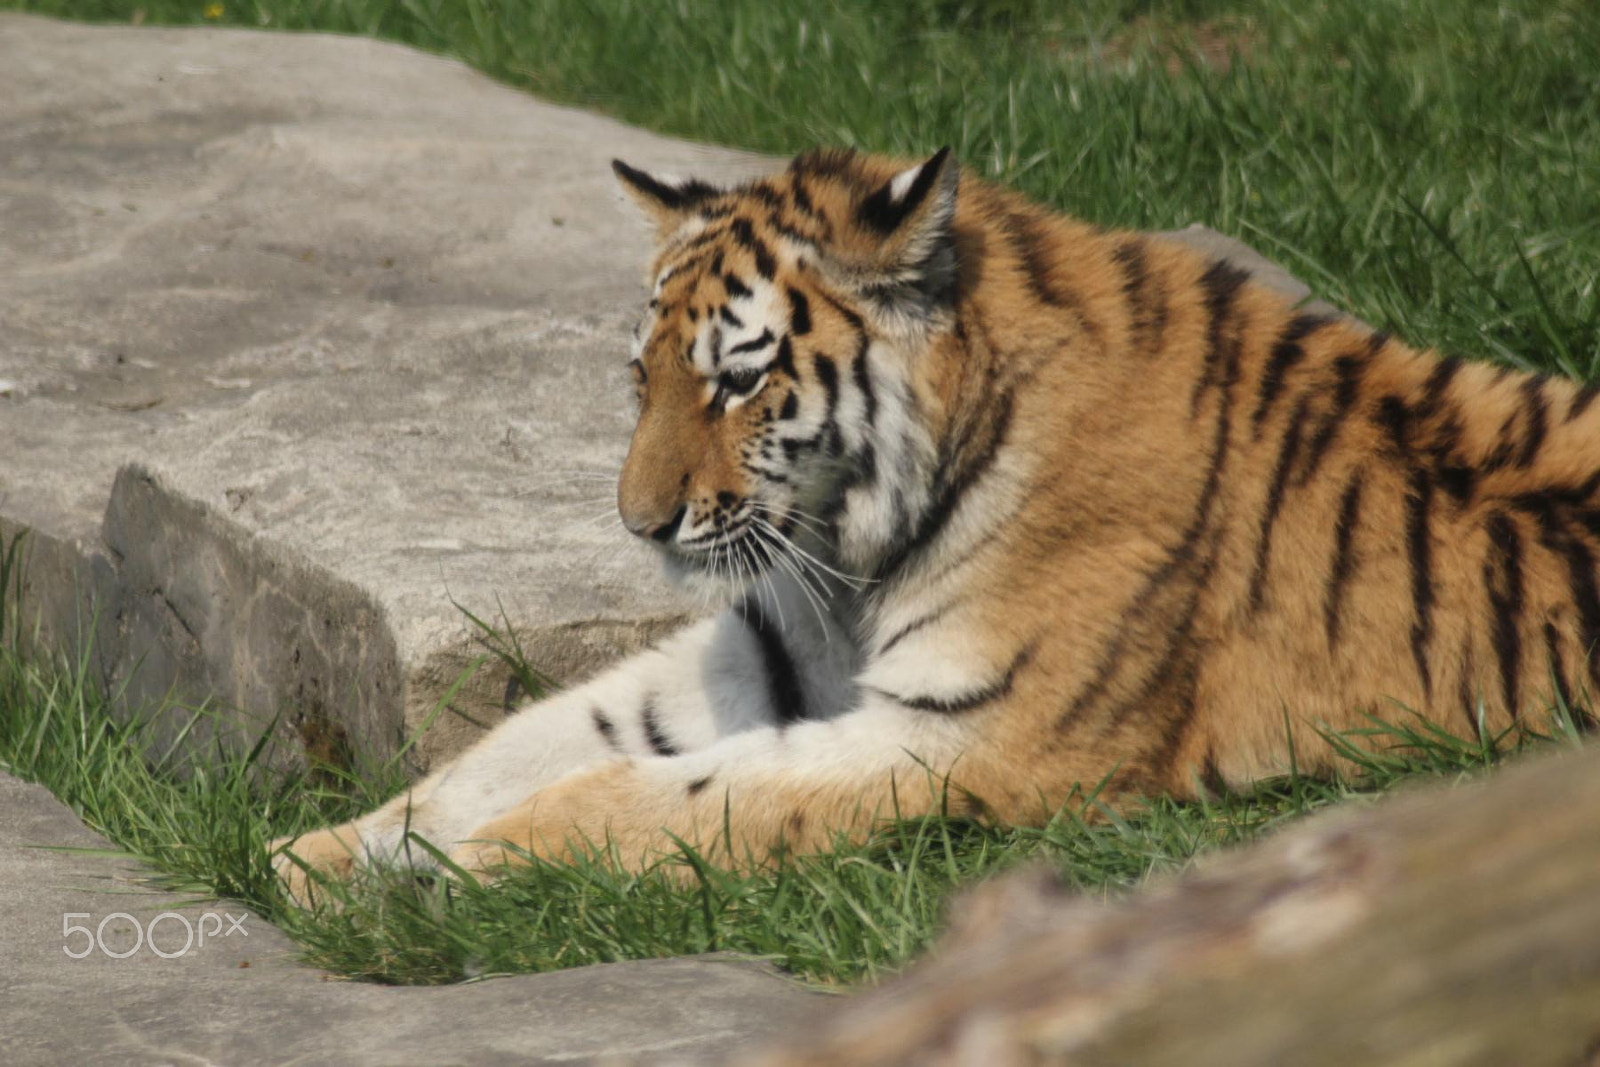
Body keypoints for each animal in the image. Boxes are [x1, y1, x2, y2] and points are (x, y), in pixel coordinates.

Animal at [275, 143, 1600, 902]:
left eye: (737, 379)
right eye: (639, 376)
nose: (639, 524)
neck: (858, 536)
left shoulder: (970, 735)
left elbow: (662, 793)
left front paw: (475, 864)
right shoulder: (772, 644)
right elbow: (523, 741)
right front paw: (327, 857)